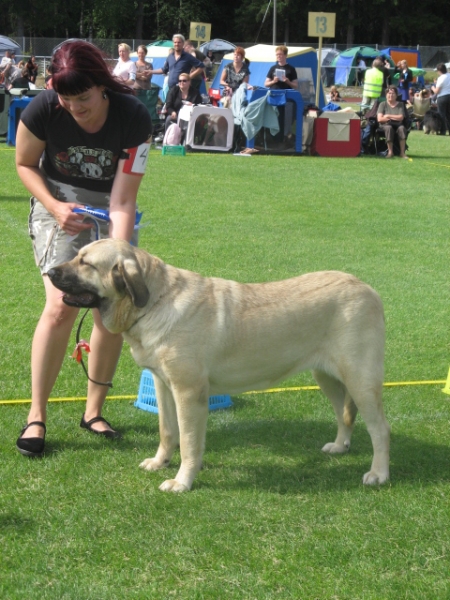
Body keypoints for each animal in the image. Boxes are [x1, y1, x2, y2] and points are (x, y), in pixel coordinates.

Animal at [48, 238, 390, 492]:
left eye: (86, 263)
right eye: (77, 256)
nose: (50, 272)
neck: (154, 302)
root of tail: (368, 288)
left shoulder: (189, 394)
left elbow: (189, 443)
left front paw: (182, 481)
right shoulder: (163, 385)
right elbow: (167, 431)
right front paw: (160, 463)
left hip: (361, 379)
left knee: (380, 429)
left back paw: (379, 473)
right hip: (327, 378)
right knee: (345, 414)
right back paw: (340, 446)